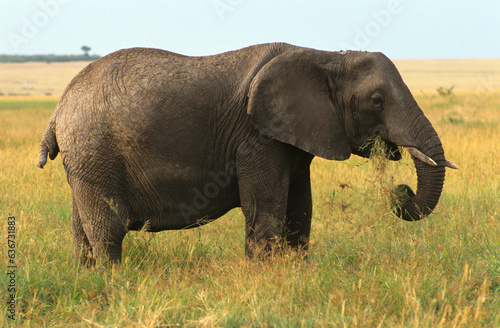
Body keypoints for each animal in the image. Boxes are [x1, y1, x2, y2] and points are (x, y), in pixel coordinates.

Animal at [38, 42, 458, 266]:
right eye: (376, 101)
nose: (400, 191)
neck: (326, 56)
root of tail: (57, 111)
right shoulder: (257, 137)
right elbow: (266, 208)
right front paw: (266, 277)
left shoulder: (292, 137)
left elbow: (300, 210)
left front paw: (297, 273)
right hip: (95, 151)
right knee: (107, 227)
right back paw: (114, 281)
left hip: (85, 161)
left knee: (82, 228)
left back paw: (87, 280)